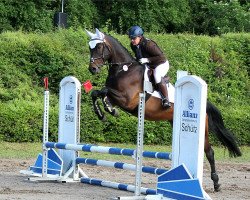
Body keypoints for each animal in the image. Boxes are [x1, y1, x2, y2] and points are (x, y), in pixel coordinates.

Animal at [85, 28, 241, 192]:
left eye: (99, 47)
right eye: (90, 47)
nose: (92, 69)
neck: (123, 69)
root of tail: (205, 104)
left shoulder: (127, 99)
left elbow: (104, 91)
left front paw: (110, 109)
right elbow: (96, 93)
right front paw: (103, 113)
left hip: (203, 129)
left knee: (209, 152)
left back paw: (216, 183)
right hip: (174, 122)